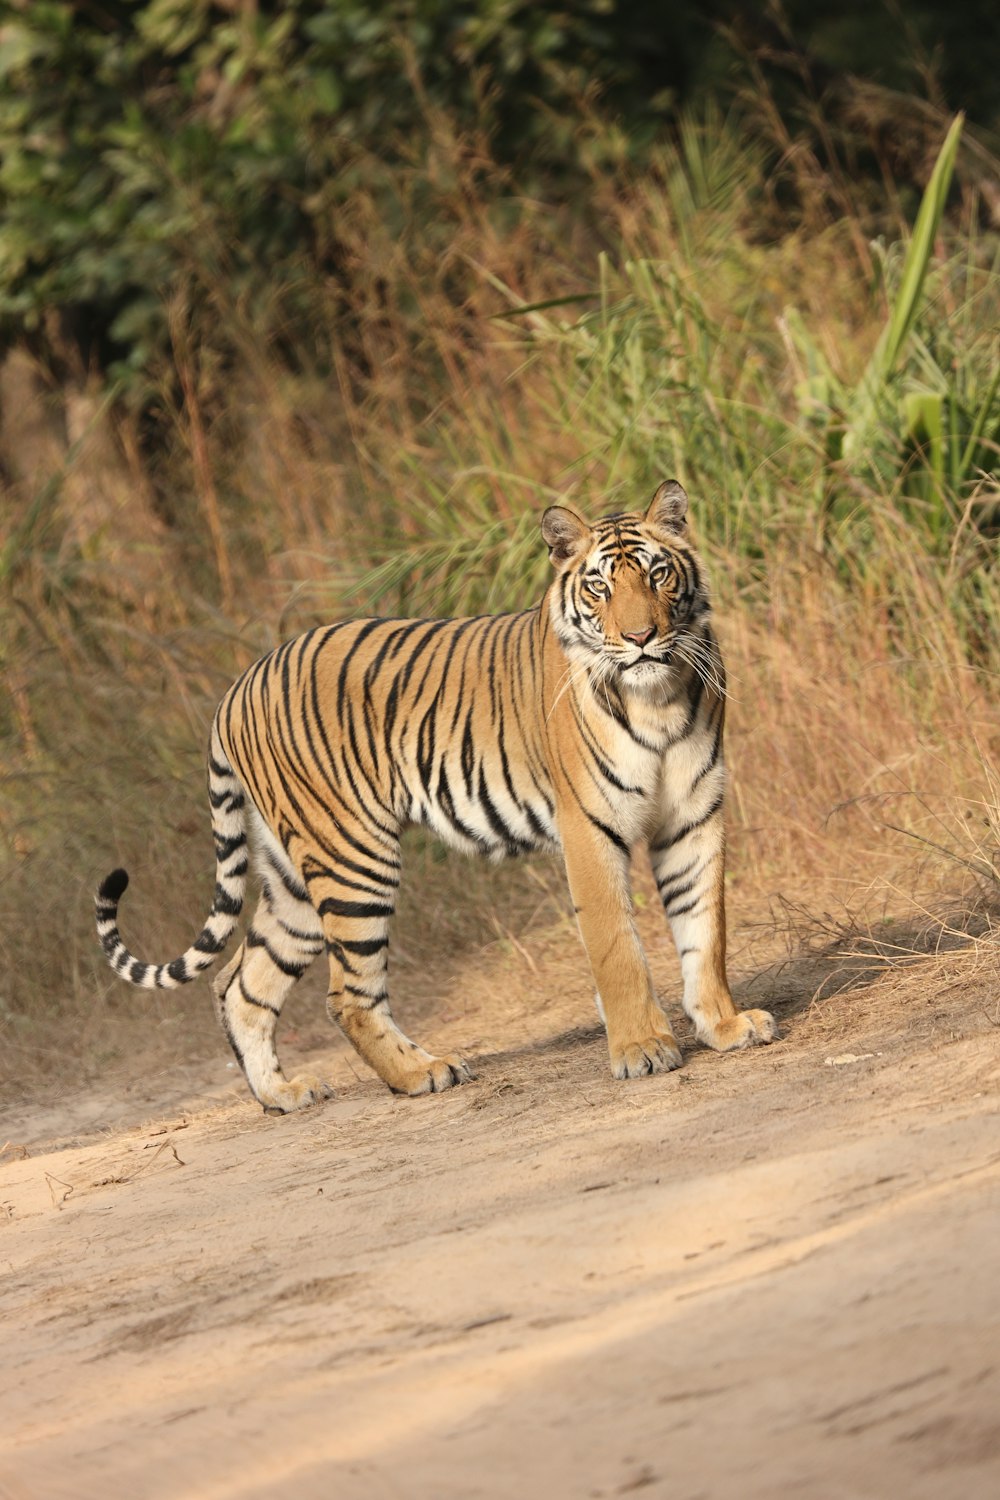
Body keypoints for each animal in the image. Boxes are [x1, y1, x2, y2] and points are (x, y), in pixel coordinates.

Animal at [95, 479, 776, 1112]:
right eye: (599, 588)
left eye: (659, 574)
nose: (640, 638)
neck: (658, 696)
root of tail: (236, 687)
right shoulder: (589, 828)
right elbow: (617, 947)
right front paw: (642, 1049)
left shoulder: (693, 816)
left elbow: (705, 929)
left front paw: (724, 1025)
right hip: (352, 858)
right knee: (346, 996)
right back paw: (422, 1073)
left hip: (292, 880)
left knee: (241, 985)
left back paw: (284, 1094)